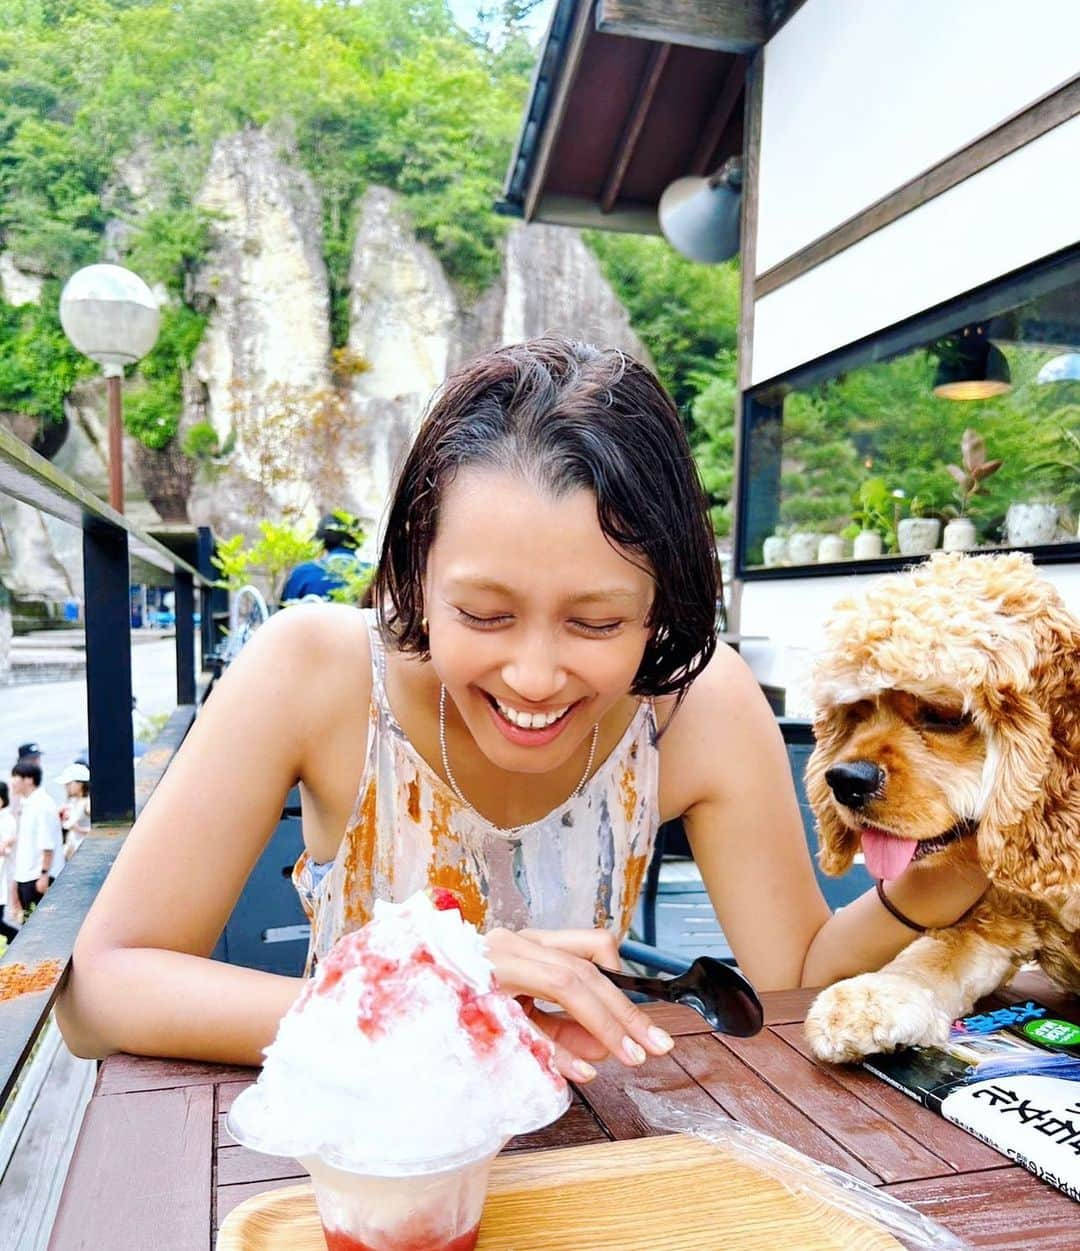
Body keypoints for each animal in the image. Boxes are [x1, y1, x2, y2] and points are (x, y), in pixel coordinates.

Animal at [800, 552, 1080, 1060]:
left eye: (944, 715)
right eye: (857, 713)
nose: (844, 780)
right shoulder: (993, 921)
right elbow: (932, 956)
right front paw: (868, 999)